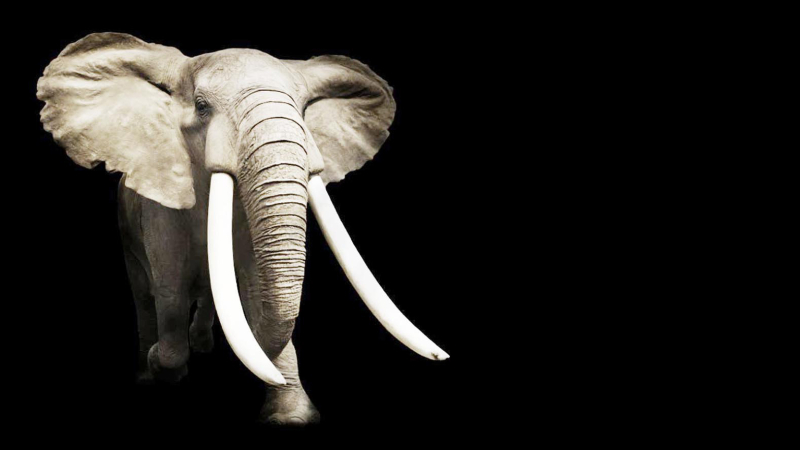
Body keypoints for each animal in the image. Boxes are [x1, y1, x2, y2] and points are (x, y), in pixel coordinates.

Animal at [37, 32, 448, 425]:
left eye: (303, 110)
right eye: (201, 106)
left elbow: (254, 289)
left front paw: (291, 416)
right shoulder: (158, 207)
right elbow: (169, 289)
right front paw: (161, 364)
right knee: (144, 293)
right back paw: (147, 371)